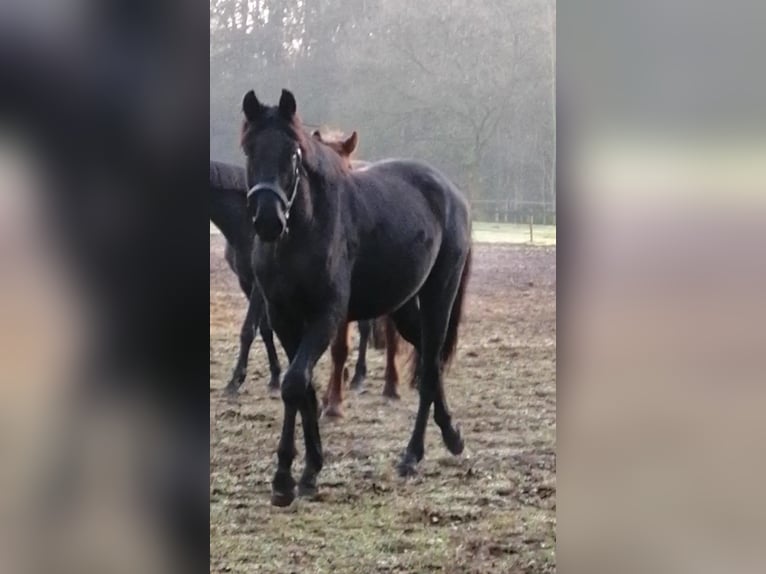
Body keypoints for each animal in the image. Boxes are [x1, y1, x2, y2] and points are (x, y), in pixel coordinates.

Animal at [243, 90, 472, 508]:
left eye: (294, 153)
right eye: (249, 149)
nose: (269, 220)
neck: (303, 232)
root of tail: (450, 192)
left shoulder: (327, 315)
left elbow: (294, 383)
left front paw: (285, 476)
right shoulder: (284, 317)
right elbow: (303, 388)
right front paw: (309, 470)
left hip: (439, 296)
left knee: (431, 367)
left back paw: (413, 455)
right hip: (403, 307)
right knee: (428, 362)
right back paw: (451, 435)